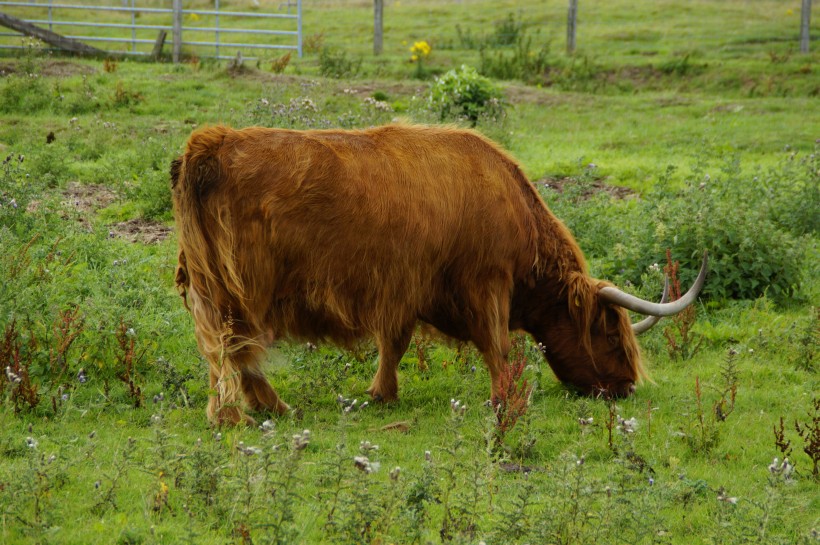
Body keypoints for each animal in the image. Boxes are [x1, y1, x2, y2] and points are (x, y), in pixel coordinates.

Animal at [171, 124, 704, 424]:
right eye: (610, 335)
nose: (625, 388)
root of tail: (212, 141)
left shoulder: (405, 291)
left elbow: (395, 344)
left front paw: (382, 394)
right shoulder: (485, 283)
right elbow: (497, 346)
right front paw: (505, 400)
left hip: (209, 288)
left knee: (230, 352)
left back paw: (264, 409)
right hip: (240, 290)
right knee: (232, 348)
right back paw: (239, 415)